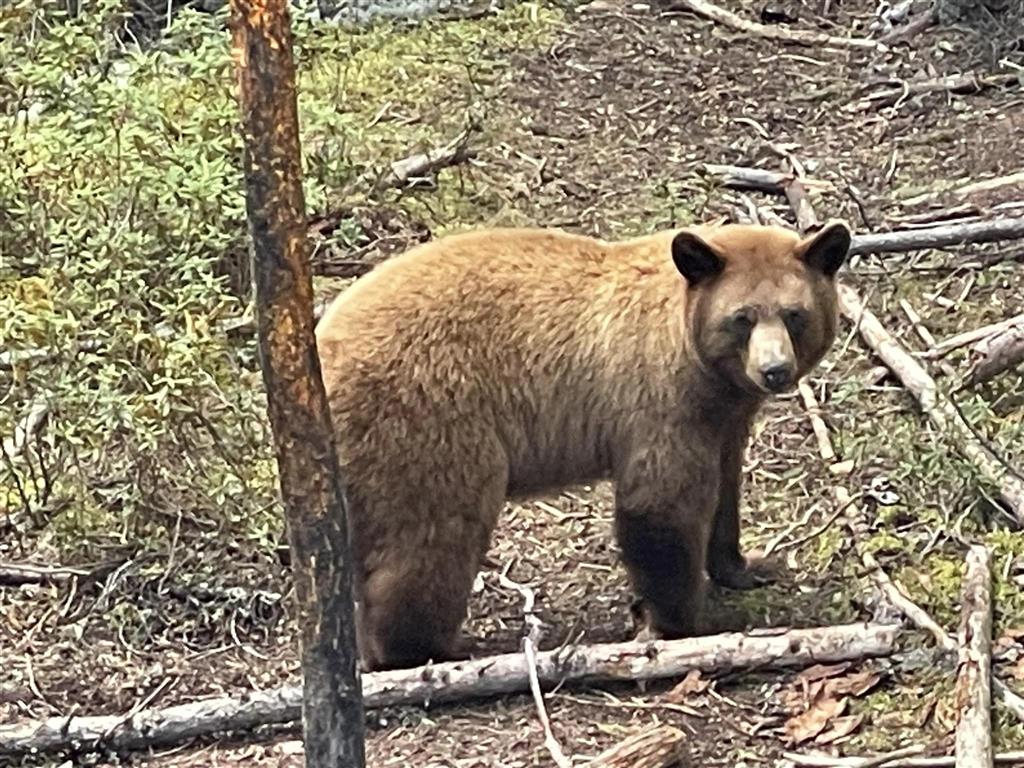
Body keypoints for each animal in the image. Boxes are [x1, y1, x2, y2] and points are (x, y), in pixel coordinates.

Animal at [315, 219, 851, 671]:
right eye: (742, 318)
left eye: (794, 314)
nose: (774, 370)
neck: (704, 369)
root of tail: (325, 350)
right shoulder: (661, 401)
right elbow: (662, 503)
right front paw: (684, 622)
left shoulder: (724, 416)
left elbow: (725, 487)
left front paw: (746, 566)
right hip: (429, 421)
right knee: (432, 537)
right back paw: (423, 651)